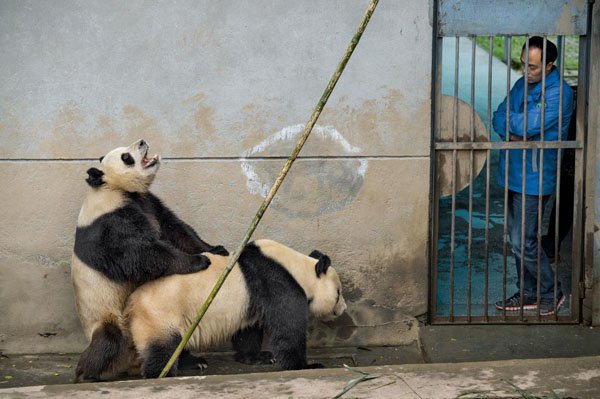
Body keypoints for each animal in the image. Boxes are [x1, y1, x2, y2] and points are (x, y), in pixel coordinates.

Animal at [70, 140, 229, 382]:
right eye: (126, 157)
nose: (142, 141)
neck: (112, 188)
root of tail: (131, 363)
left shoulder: (149, 203)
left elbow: (176, 229)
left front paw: (215, 249)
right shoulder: (109, 221)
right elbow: (139, 255)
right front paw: (197, 261)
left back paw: (192, 361)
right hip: (108, 316)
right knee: (108, 340)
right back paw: (86, 374)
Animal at [124, 239, 346, 380]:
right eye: (338, 293)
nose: (343, 308)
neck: (296, 266)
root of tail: (131, 302)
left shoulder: (252, 299)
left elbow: (248, 329)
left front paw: (258, 357)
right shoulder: (277, 282)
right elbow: (287, 327)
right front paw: (306, 365)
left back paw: (194, 362)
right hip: (161, 314)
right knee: (164, 348)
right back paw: (162, 374)